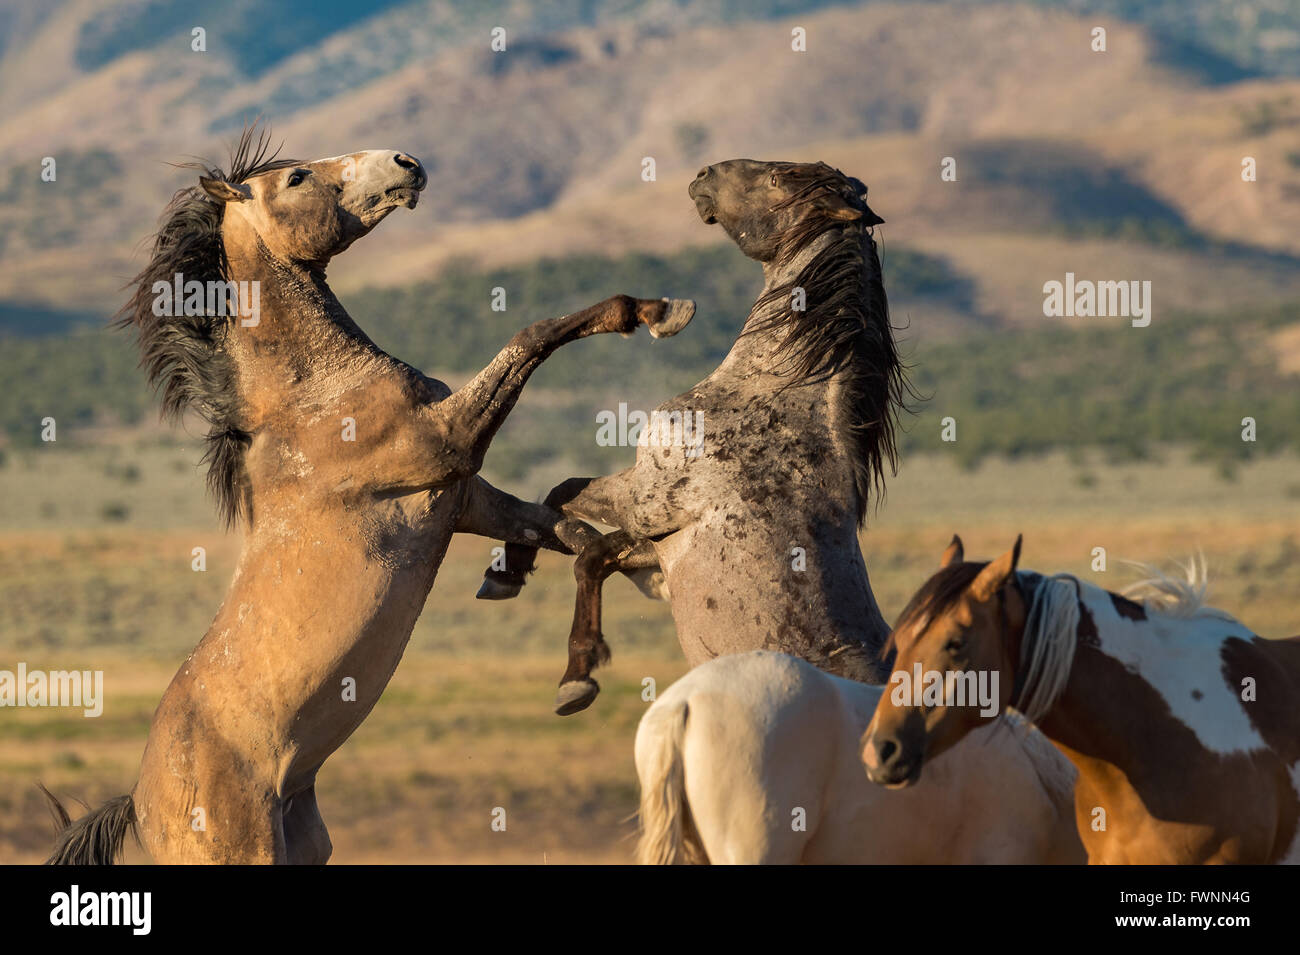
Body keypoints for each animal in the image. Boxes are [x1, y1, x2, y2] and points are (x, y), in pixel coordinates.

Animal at [38, 127, 691, 867]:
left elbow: (567, 531)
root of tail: (142, 808)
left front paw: (579, 642)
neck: (315, 396)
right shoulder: (448, 445)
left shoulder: (463, 499)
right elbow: (535, 336)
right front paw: (660, 313)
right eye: (295, 177)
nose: (407, 162)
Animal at [483, 158, 909, 712]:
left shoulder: (645, 506)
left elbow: (583, 539)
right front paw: (505, 573)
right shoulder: (655, 539)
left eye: (777, 181)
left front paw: (578, 676)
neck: (770, 394)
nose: (706, 173)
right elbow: (570, 514)